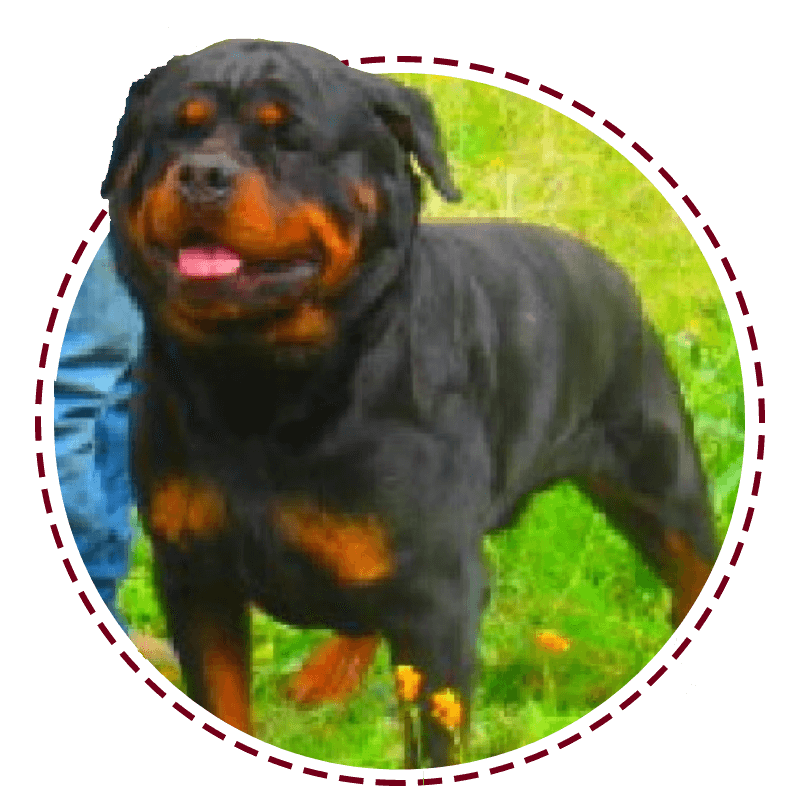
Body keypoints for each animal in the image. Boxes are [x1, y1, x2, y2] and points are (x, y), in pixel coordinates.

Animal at [101, 39, 720, 768]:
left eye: (291, 137)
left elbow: (432, 737)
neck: (263, 390)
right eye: (176, 130)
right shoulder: (196, 579)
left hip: (660, 474)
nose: (201, 172)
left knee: (686, 555)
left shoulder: (437, 598)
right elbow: (225, 694)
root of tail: (607, 271)